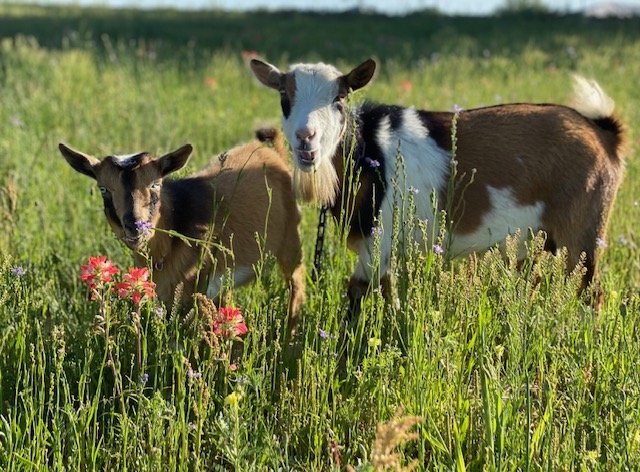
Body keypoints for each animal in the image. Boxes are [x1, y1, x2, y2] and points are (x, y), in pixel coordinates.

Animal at [59, 129, 305, 333]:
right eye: (103, 189)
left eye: (155, 184)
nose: (135, 226)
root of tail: (273, 154)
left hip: (290, 240)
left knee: (296, 285)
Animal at [250, 58, 626, 308]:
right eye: (285, 98)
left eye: (339, 99)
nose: (306, 138)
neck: (368, 150)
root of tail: (602, 133)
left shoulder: (380, 240)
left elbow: (364, 294)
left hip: (582, 232)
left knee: (591, 292)